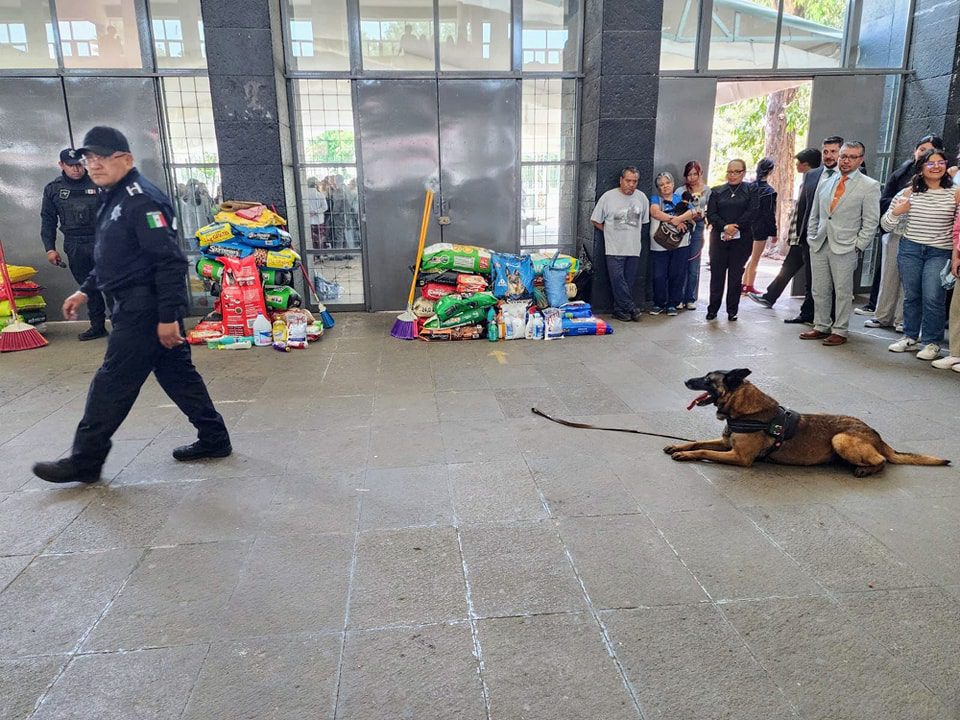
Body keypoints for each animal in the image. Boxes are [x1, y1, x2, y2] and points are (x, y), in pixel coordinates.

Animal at [664, 368, 948, 476]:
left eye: (708, 379)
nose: (686, 380)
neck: (746, 412)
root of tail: (876, 435)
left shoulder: (739, 457)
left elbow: (703, 451)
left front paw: (686, 455)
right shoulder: (726, 443)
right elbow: (697, 441)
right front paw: (678, 446)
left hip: (840, 439)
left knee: (882, 461)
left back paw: (866, 469)